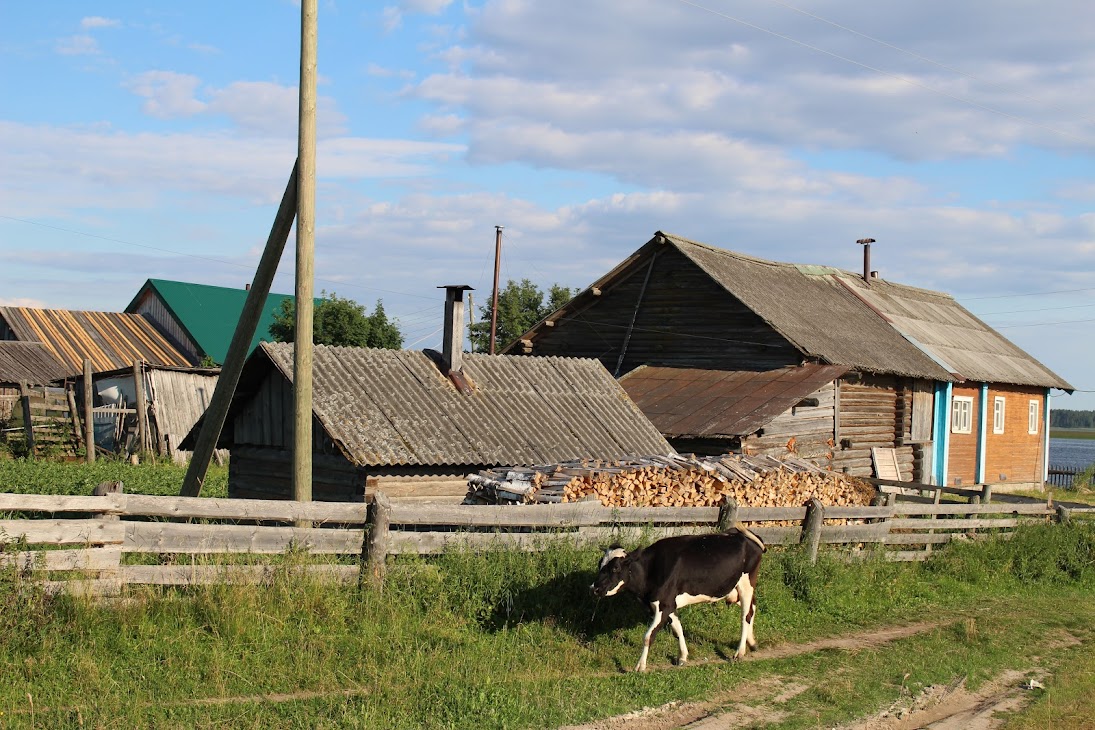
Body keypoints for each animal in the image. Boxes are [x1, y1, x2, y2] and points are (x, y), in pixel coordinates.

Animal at [595, 525, 766, 674]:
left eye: (615, 568)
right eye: (599, 564)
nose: (594, 588)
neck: (651, 569)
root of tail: (743, 535)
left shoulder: (664, 605)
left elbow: (648, 636)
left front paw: (640, 666)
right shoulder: (669, 603)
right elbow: (677, 628)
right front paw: (683, 656)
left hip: (746, 583)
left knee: (745, 616)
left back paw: (739, 652)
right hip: (734, 589)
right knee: (753, 608)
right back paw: (752, 643)